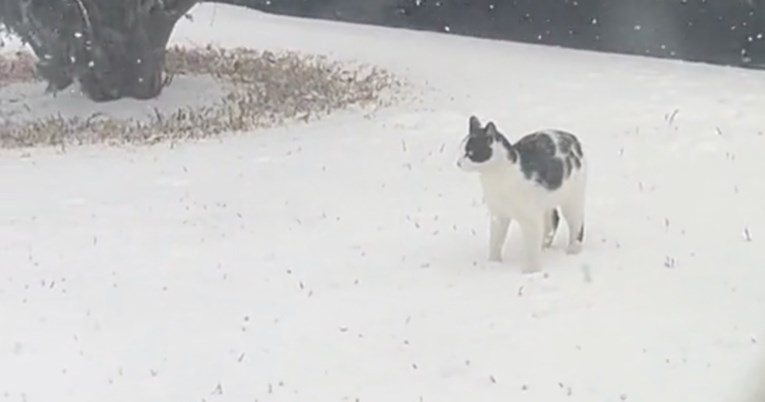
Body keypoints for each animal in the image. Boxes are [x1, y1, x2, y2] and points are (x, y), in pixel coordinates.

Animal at [456, 114, 588, 274]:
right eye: (460, 150)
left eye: (470, 153)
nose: (458, 163)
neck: (497, 177)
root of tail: (572, 138)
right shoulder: (498, 215)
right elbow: (495, 242)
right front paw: (493, 264)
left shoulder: (530, 218)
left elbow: (531, 248)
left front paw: (531, 272)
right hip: (546, 203)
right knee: (553, 220)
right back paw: (544, 246)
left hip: (572, 199)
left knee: (576, 224)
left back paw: (573, 251)